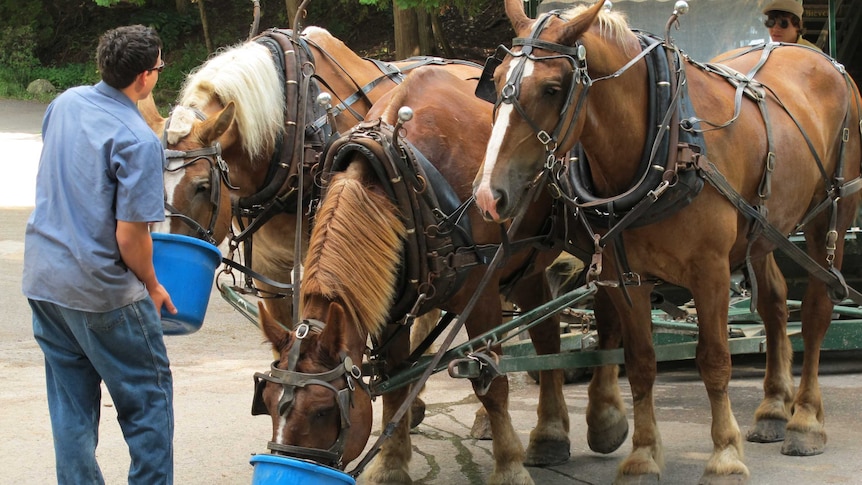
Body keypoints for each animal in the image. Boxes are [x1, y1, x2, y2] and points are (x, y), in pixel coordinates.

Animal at [472, 0, 862, 484]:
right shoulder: (626, 276)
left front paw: (724, 456)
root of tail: (813, 55)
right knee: (773, 302)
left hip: (832, 213)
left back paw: (805, 419)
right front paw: (642, 456)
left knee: (814, 312)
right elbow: (640, 363)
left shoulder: (710, 271)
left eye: (551, 88)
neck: (665, 141)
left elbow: (714, 360)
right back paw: (773, 409)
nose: (488, 195)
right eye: (496, 78)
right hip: (764, 229)